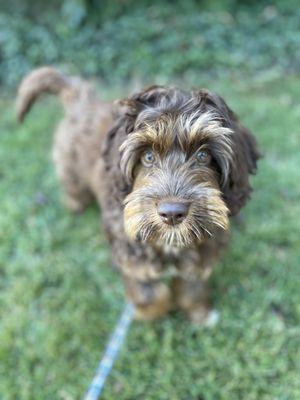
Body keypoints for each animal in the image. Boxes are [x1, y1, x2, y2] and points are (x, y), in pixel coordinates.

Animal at [17, 67, 258, 324]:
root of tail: (81, 99)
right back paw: (75, 205)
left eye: (203, 155)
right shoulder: (129, 248)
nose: (172, 213)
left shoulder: (203, 246)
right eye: (148, 156)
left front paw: (200, 313)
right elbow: (150, 291)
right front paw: (148, 312)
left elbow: (193, 283)